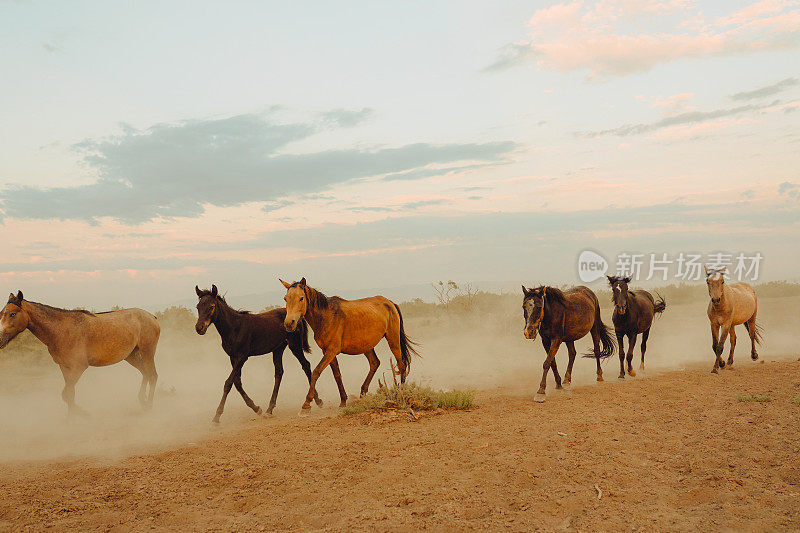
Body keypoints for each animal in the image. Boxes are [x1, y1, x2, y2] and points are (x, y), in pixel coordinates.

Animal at [0, 288, 161, 414]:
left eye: (13, 314)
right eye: (2, 313)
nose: (0, 339)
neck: (61, 330)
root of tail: (152, 317)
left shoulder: (79, 366)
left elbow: (66, 393)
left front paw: (80, 413)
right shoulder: (64, 367)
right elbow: (70, 393)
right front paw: (71, 419)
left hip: (147, 352)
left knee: (153, 376)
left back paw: (149, 406)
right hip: (131, 356)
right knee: (145, 374)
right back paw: (142, 401)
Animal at [195, 284, 346, 422]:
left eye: (211, 306)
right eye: (197, 307)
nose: (199, 328)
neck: (234, 327)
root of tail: (297, 318)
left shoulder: (242, 357)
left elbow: (228, 383)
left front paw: (217, 416)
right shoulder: (233, 358)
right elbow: (237, 382)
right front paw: (256, 408)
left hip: (294, 346)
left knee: (305, 365)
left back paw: (317, 401)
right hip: (278, 349)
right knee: (279, 372)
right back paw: (270, 408)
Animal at [280, 276, 422, 414]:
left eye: (301, 298)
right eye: (285, 298)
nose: (289, 323)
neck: (326, 316)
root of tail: (389, 302)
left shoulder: (331, 351)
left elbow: (316, 372)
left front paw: (306, 404)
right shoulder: (328, 352)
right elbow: (337, 375)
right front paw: (343, 401)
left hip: (393, 340)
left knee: (401, 364)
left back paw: (401, 392)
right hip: (367, 346)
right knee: (375, 363)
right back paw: (363, 393)